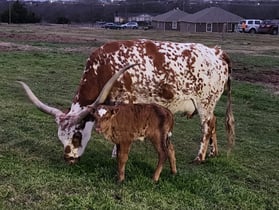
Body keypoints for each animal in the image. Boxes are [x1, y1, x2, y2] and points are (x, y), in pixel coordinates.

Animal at [18, 39, 235, 164]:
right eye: (60, 137)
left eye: (77, 135)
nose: (68, 158)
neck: (103, 66)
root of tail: (217, 52)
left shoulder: (125, 100)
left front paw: (116, 153)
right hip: (209, 104)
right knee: (214, 123)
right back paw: (213, 153)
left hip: (205, 102)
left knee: (207, 126)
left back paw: (200, 157)